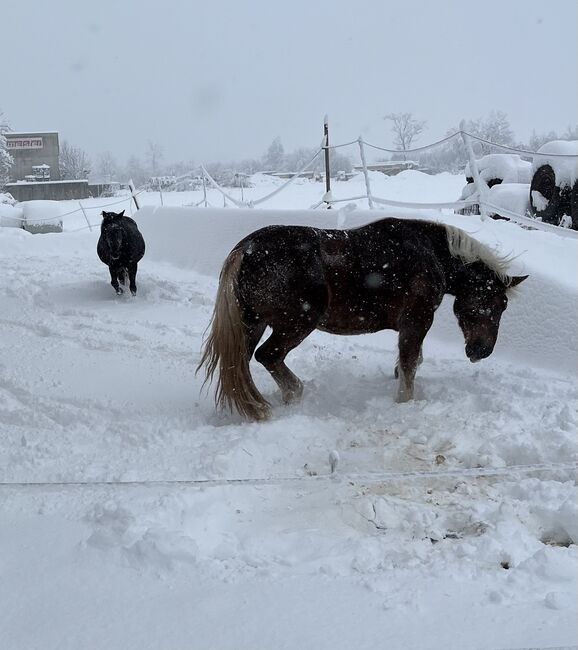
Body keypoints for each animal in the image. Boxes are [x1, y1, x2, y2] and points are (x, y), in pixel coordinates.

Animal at [198, 218, 528, 420]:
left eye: (503, 306)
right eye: (494, 302)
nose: (481, 351)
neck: (429, 252)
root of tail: (246, 250)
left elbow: (412, 361)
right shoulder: (417, 321)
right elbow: (410, 364)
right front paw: (404, 402)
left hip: (253, 324)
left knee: (241, 363)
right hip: (295, 324)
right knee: (268, 356)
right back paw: (292, 395)